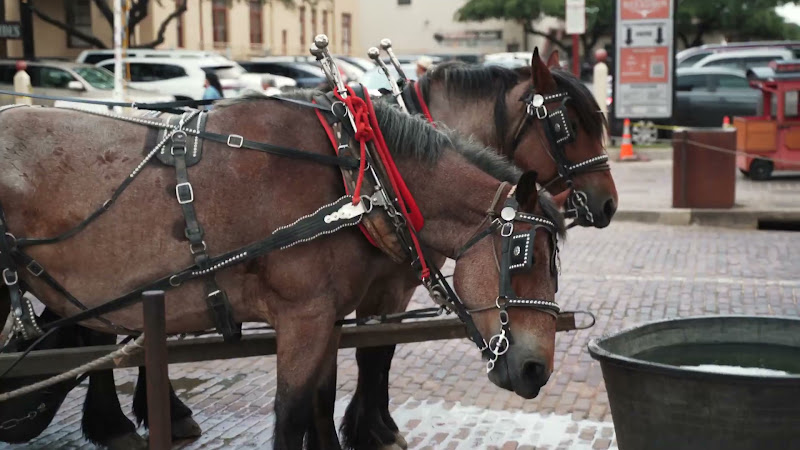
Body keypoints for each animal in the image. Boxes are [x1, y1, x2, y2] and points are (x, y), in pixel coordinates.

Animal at [0, 86, 566, 449]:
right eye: (524, 255)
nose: (537, 370)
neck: (356, 177)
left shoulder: (328, 318)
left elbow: (321, 401)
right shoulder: (303, 317)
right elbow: (292, 415)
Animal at [339, 49, 615, 449]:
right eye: (570, 127)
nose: (609, 202)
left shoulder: (395, 289)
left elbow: (381, 351)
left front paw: (377, 426)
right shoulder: (383, 287)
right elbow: (371, 353)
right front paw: (373, 430)